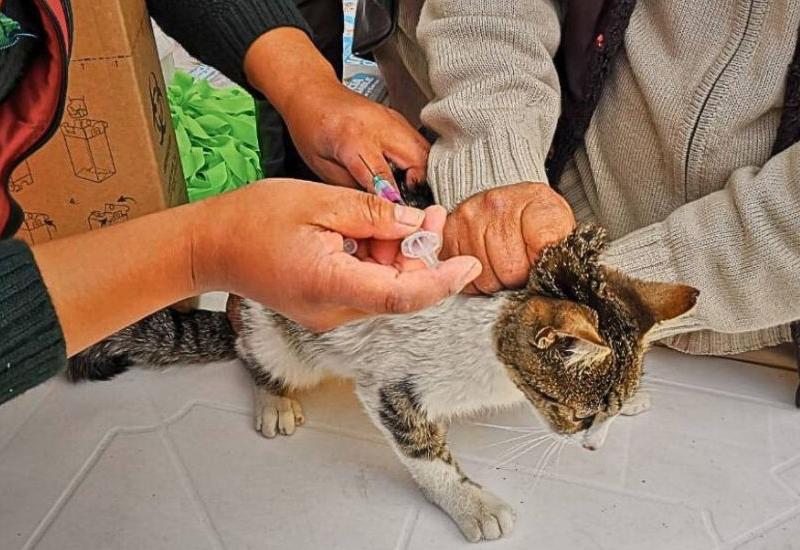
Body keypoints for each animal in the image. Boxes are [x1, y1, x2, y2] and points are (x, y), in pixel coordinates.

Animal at [69, 225, 698, 542]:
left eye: (600, 415)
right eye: (578, 414)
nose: (592, 446)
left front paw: (635, 400)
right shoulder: (391, 386)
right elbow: (426, 454)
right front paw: (472, 504)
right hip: (278, 340)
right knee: (256, 357)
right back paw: (274, 399)